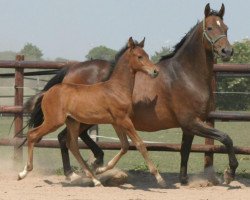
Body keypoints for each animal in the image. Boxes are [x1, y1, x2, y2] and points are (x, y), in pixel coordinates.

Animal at [19, 38, 166, 188]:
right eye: (139, 56)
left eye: (147, 55)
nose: (155, 71)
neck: (116, 89)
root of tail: (47, 93)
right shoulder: (124, 120)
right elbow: (140, 144)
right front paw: (159, 178)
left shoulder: (116, 122)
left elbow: (125, 146)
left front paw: (101, 169)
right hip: (54, 121)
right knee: (33, 135)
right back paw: (23, 172)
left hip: (72, 122)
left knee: (72, 145)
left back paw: (94, 179)